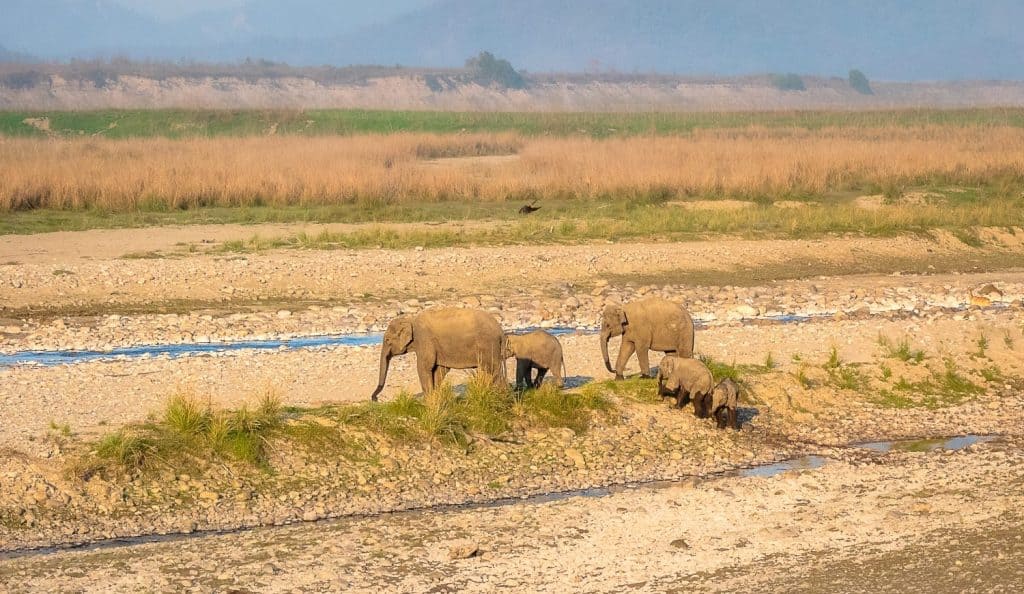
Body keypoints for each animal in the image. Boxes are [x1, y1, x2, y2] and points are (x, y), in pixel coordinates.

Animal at [369, 308, 506, 402]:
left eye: (387, 340)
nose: (375, 399)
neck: (410, 320)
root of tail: (500, 330)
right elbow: (439, 370)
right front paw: (434, 399)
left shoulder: (424, 339)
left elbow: (424, 367)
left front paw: (428, 402)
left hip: (488, 345)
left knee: (493, 370)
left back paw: (501, 396)